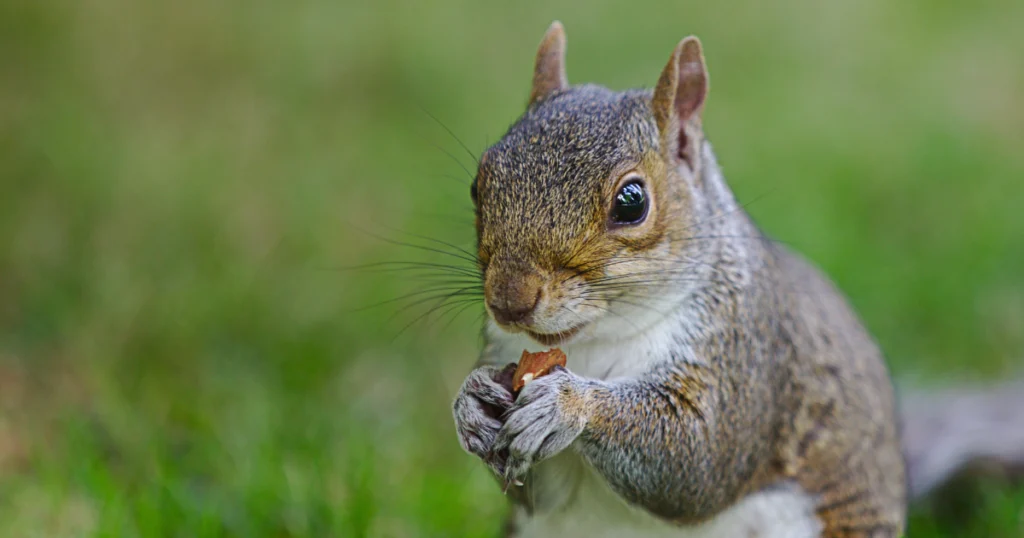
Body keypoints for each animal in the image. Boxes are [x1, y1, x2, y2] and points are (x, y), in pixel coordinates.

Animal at [452, 22, 1024, 536]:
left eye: (631, 202)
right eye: (479, 184)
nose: (509, 301)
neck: (594, 341)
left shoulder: (746, 355)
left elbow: (699, 459)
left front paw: (568, 405)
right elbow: (527, 491)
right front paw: (469, 405)